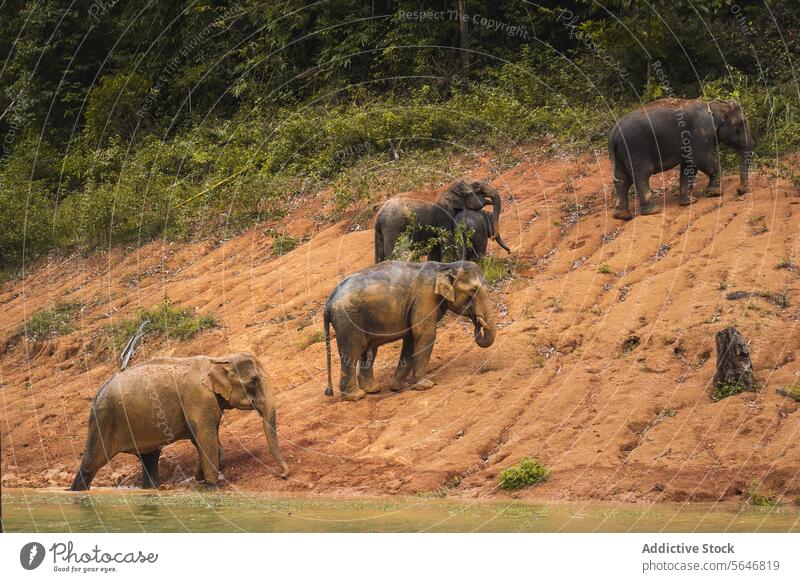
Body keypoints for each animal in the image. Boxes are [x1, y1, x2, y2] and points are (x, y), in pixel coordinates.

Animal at [68, 354, 288, 490]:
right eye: (254, 381)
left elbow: (203, 439)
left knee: (149, 459)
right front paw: (210, 485)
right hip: (105, 422)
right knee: (91, 464)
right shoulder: (198, 399)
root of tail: (97, 393)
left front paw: (201, 477)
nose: (283, 475)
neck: (217, 361)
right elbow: (205, 436)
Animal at [322, 262, 496, 402]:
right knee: (352, 350)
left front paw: (397, 387)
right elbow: (424, 334)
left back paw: (373, 389)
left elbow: (411, 338)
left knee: (368, 349)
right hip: (348, 319)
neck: (444, 266)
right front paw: (426, 386)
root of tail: (329, 300)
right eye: (473, 291)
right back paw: (356, 396)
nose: (477, 321)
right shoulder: (425, 298)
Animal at [608, 99, 752, 220]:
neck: (715, 105)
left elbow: (689, 166)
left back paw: (622, 215)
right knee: (641, 175)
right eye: (741, 123)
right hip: (635, 148)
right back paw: (653, 211)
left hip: (621, 153)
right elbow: (701, 159)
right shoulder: (699, 135)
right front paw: (714, 193)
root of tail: (613, 134)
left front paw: (689, 202)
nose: (741, 190)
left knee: (622, 180)